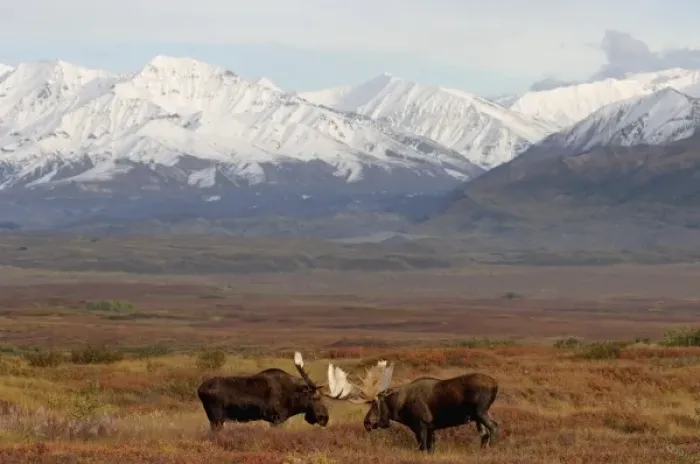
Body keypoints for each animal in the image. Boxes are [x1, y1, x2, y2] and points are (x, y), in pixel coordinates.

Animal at [197, 352, 333, 433]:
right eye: (315, 398)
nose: (325, 418)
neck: (293, 399)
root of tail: (199, 390)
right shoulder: (276, 418)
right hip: (216, 418)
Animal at [326, 360, 500, 452]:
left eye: (376, 404)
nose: (367, 422)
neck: (400, 407)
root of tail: (495, 384)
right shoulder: (431, 428)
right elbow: (430, 448)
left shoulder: (421, 425)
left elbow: (423, 447)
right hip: (478, 416)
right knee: (485, 433)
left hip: (481, 412)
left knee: (494, 427)